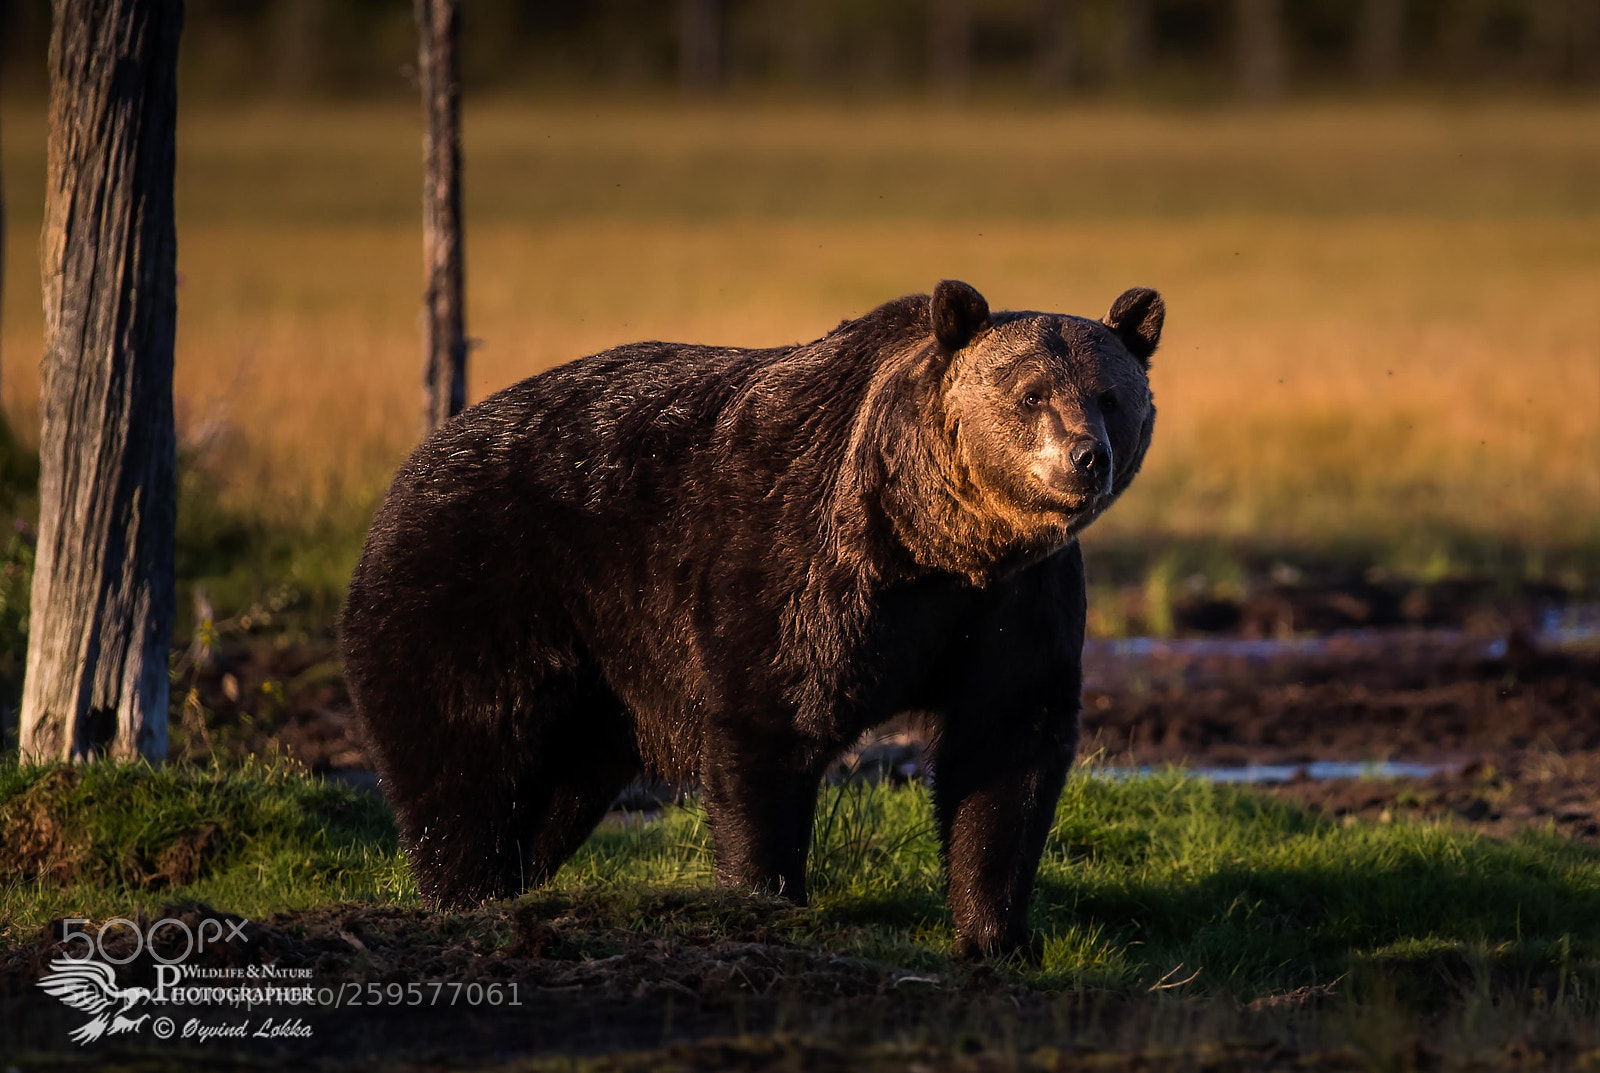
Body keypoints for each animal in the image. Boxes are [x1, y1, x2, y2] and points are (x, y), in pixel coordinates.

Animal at [340, 280, 1163, 958]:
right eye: (1031, 393)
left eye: (1109, 396)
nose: (1086, 457)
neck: (933, 540)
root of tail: (413, 463)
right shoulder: (804, 556)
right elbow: (770, 721)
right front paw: (766, 896)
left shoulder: (1015, 601)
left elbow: (1007, 747)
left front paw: (994, 933)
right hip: (481, 584)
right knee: (469, 757)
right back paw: (467, 893)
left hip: (603, 675)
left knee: (560, 789)